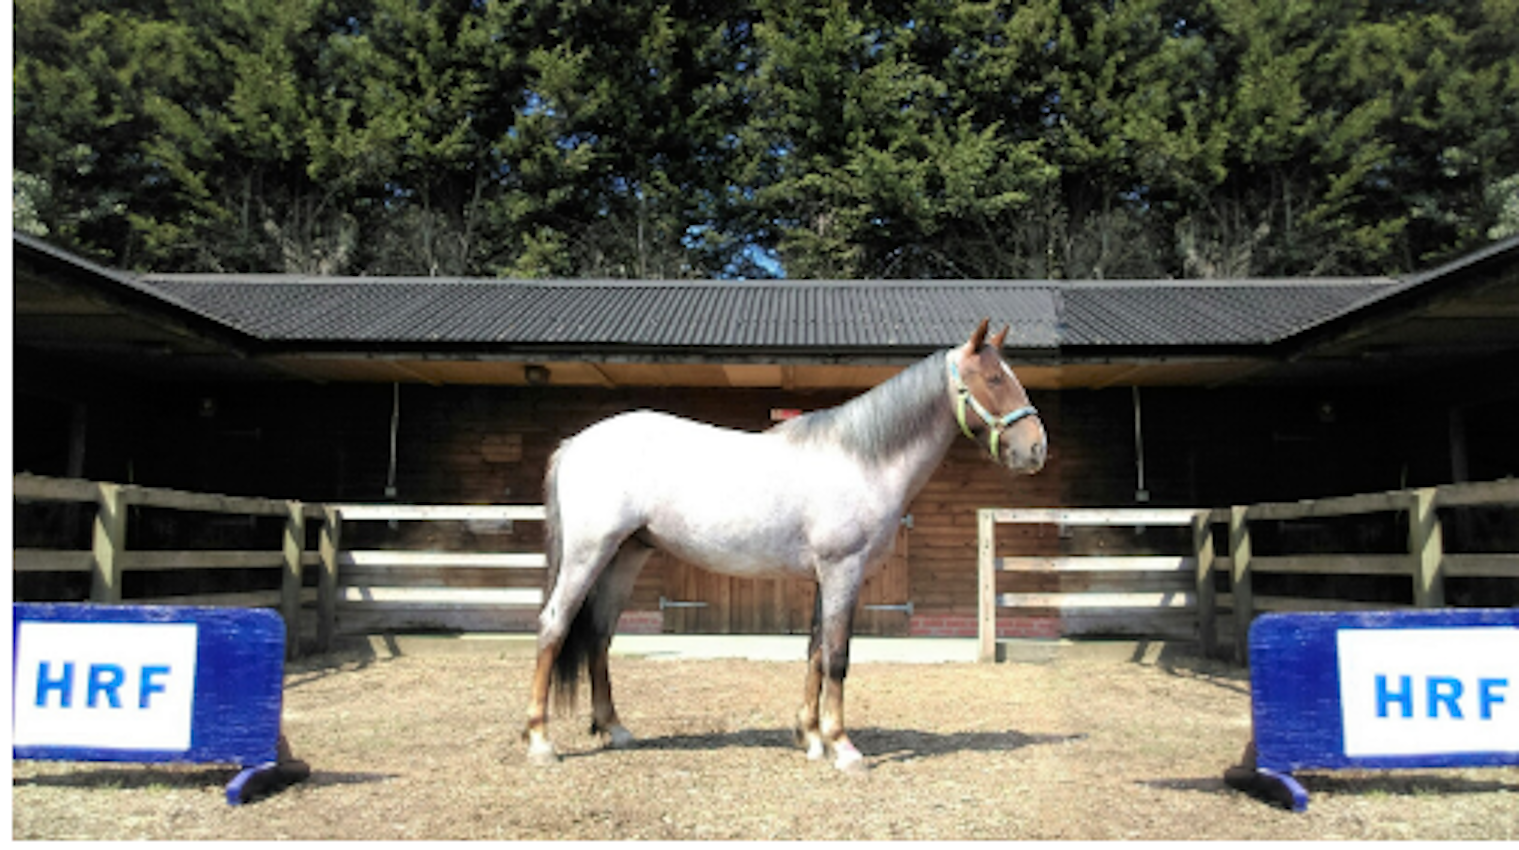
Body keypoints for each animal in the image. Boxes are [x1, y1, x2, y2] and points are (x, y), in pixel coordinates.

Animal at [522, 319, 1047, 772]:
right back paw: (541, 741)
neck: (862, 459)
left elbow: (815, 650)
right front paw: (843, 747)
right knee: (554, 625)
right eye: (994, 378)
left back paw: (615, 728)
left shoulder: (824, 578)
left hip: (625, 557)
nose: (1037, 449)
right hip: (588, 553)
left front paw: (810, 737)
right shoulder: (842, 571)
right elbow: (837, 656)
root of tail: (575, 444)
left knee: (599, 635)